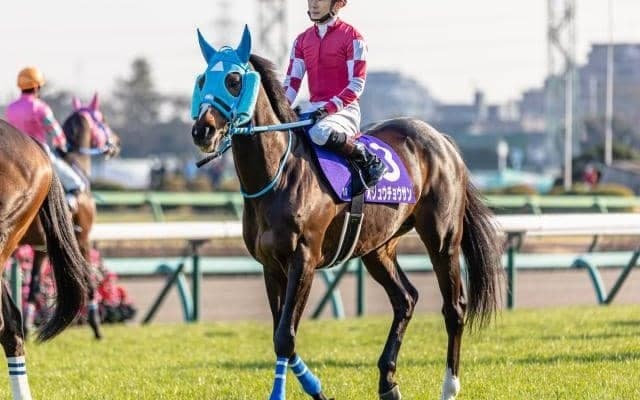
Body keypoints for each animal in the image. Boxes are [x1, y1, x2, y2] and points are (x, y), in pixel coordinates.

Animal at [22, 93, 120, 340]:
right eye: (102, 119)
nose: (116, 143)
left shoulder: (42, 248)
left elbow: (34, 286)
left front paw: (27, 328)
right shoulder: (82, 238)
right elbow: (88, 278)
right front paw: (96, 326)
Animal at [191, 27, 503, 400]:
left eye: (234, 80)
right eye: (202, 79)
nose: (202, 130)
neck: (279, 176)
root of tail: (440, 139)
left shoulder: (304, 259)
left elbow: (285, 338)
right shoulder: (270, 265)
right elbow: (281, 335)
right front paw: (316, 388)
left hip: (443, 239)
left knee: (454, 308)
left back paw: (449, 386)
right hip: (377, 248)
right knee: (406, 299)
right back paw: (388, 383)